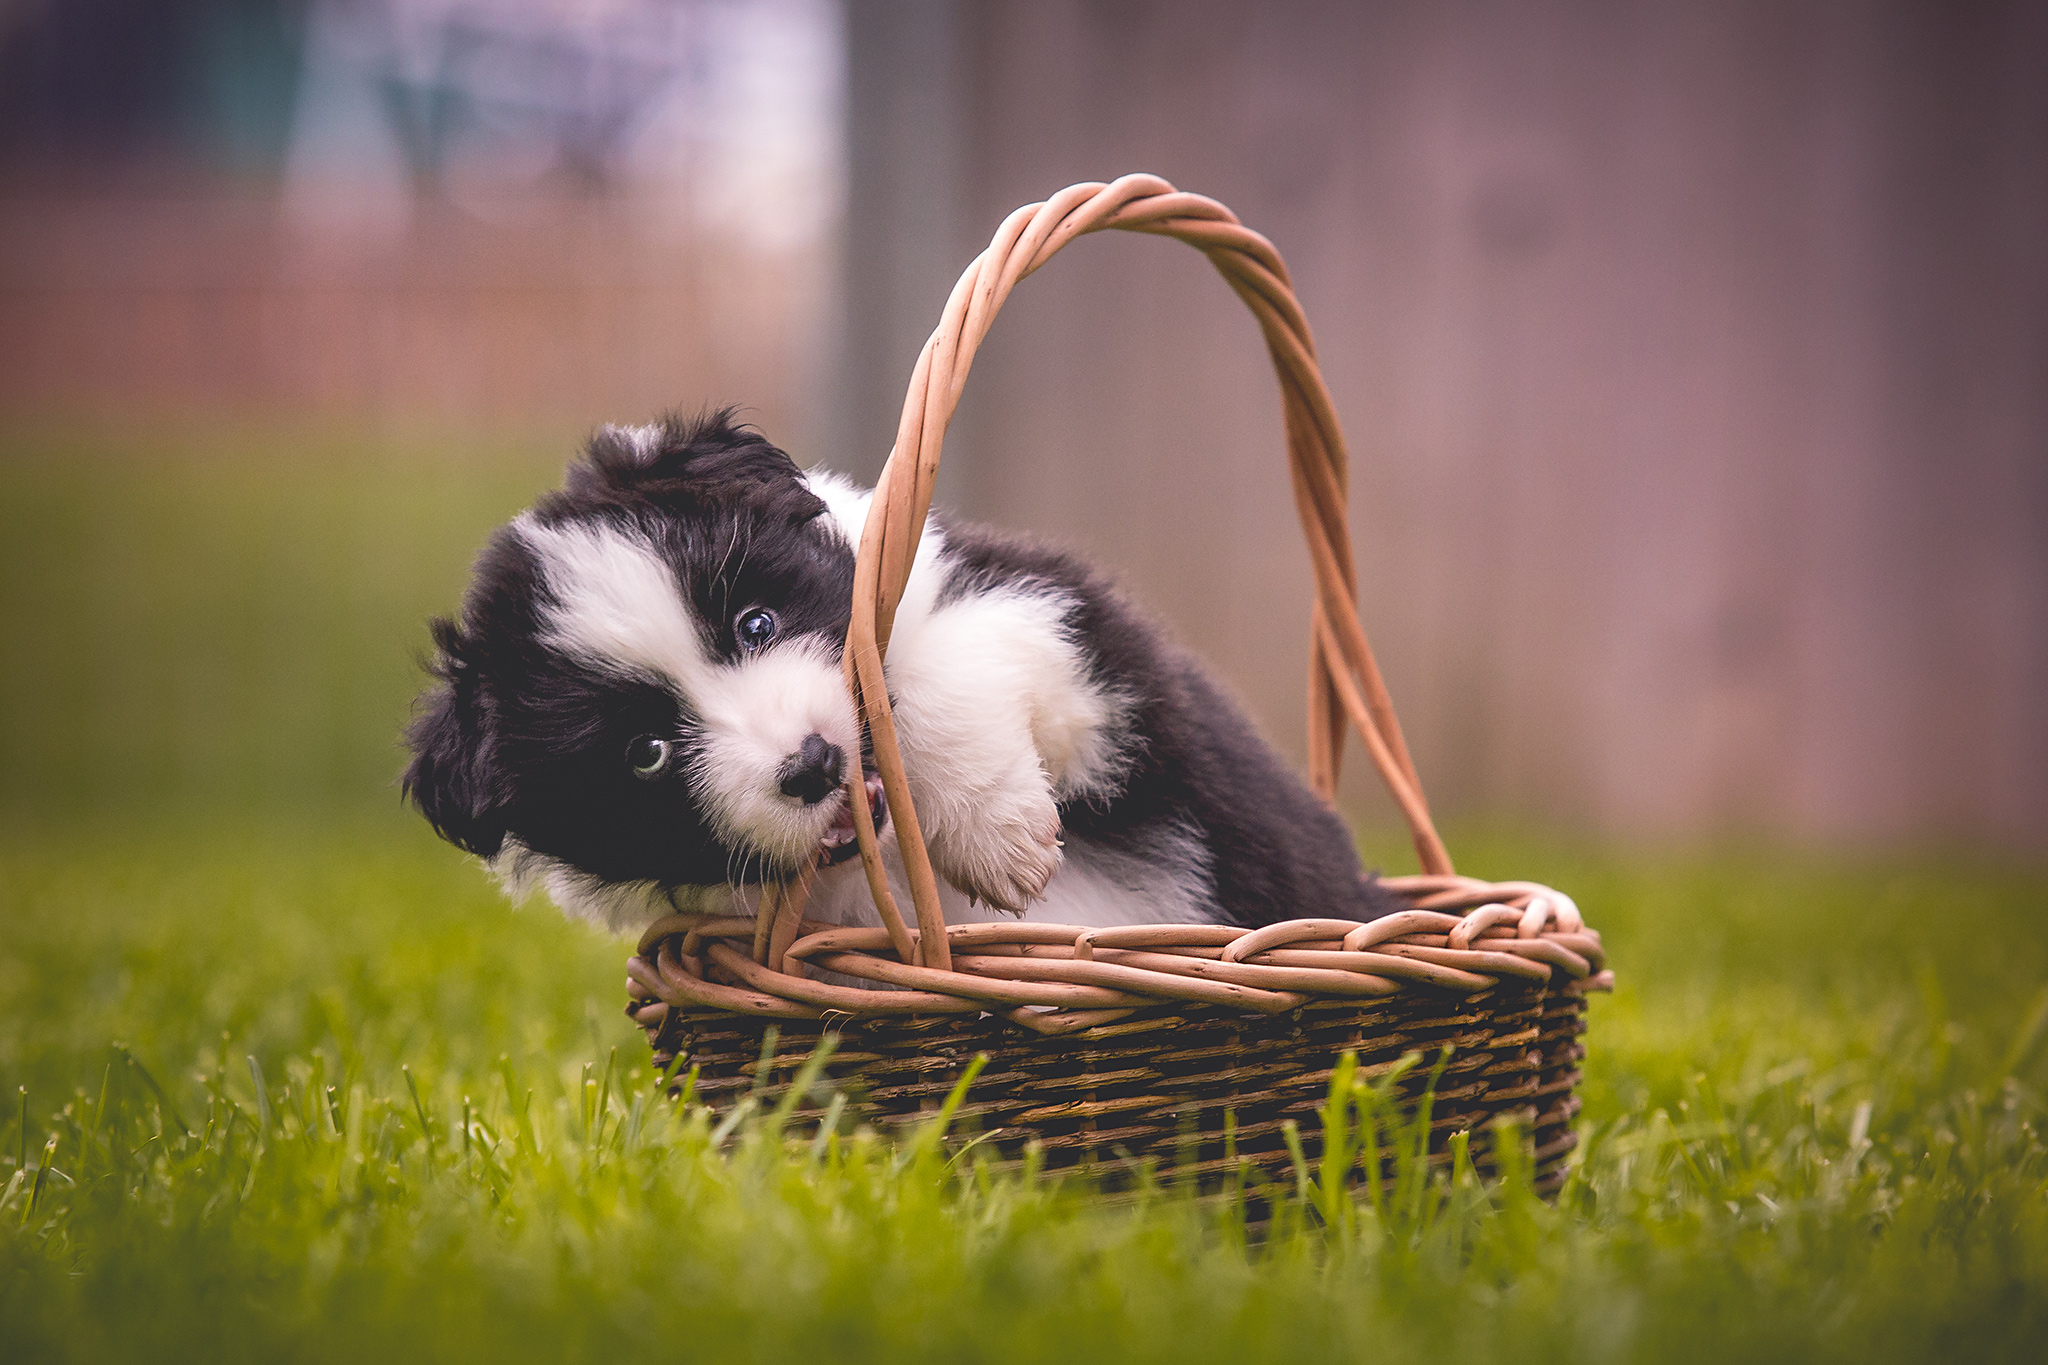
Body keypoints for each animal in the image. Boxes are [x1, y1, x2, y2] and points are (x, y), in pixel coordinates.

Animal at [403, 413, 1392, 941]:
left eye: (756, 623)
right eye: (644, 753)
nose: (810, 766)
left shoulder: (1076, 644)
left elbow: (921, 665)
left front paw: (1001, 837)